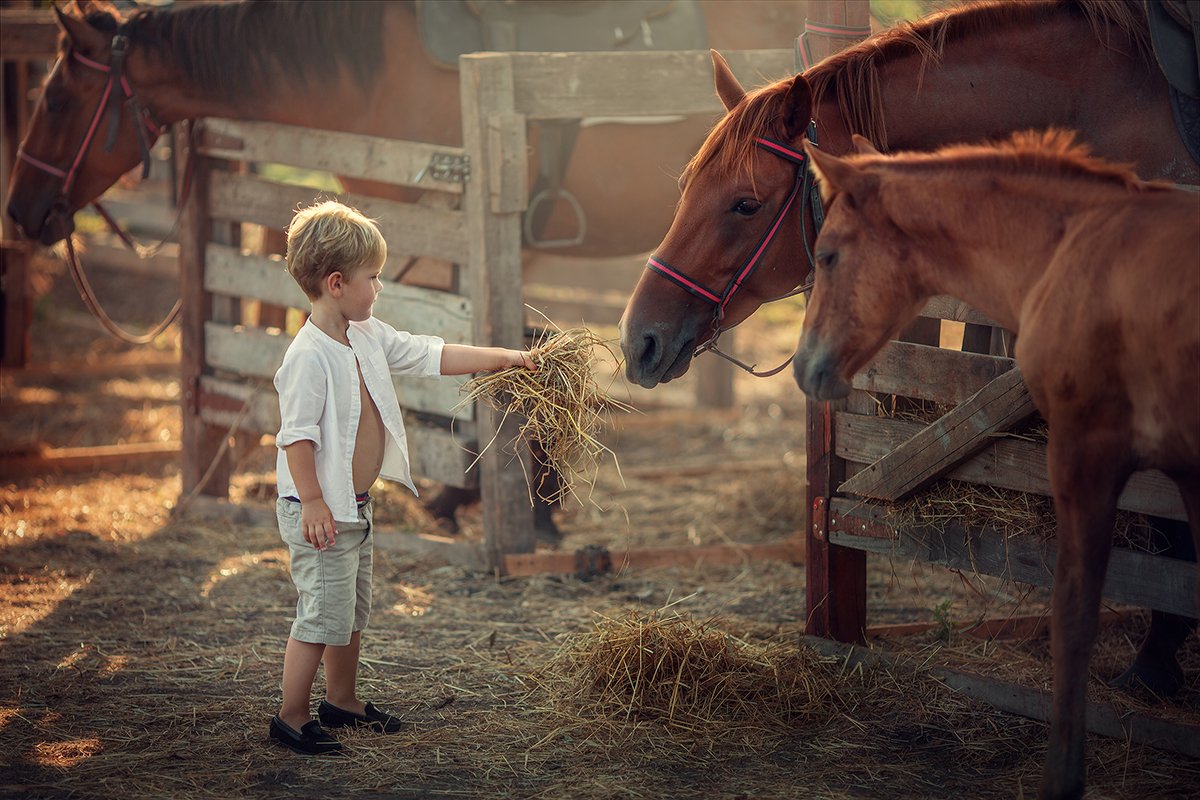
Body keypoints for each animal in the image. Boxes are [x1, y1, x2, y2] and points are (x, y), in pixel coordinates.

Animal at [796, 130, 1200, 800]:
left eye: (827, 256)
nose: (804, 367)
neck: (1067, 249)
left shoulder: (1084, 454)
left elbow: (1074, 617)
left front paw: (1062, 777)